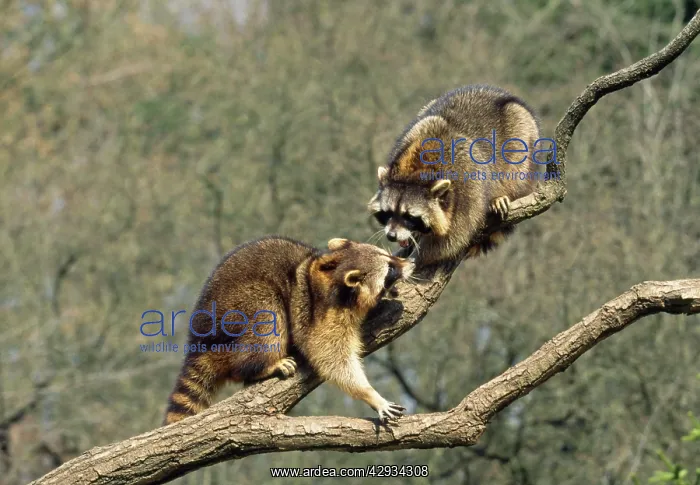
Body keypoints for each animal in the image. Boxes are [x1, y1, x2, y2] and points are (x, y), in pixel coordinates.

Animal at [163, 236, 413, 425]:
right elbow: (331, 359)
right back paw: (260, 366)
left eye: (389, 257)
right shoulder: (320, 316)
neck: (335, 277)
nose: (410, 262)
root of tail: (200, 343)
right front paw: (370, 394)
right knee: (267, 314)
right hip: (237, 311)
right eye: (390, 270)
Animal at [368, 85, 542, 266]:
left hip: (523, 131)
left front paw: (419, 256)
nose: (391, 236)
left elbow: (454, 237)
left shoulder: (469, 185)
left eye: (409, 216)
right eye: (388, 212)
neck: (414, 171)